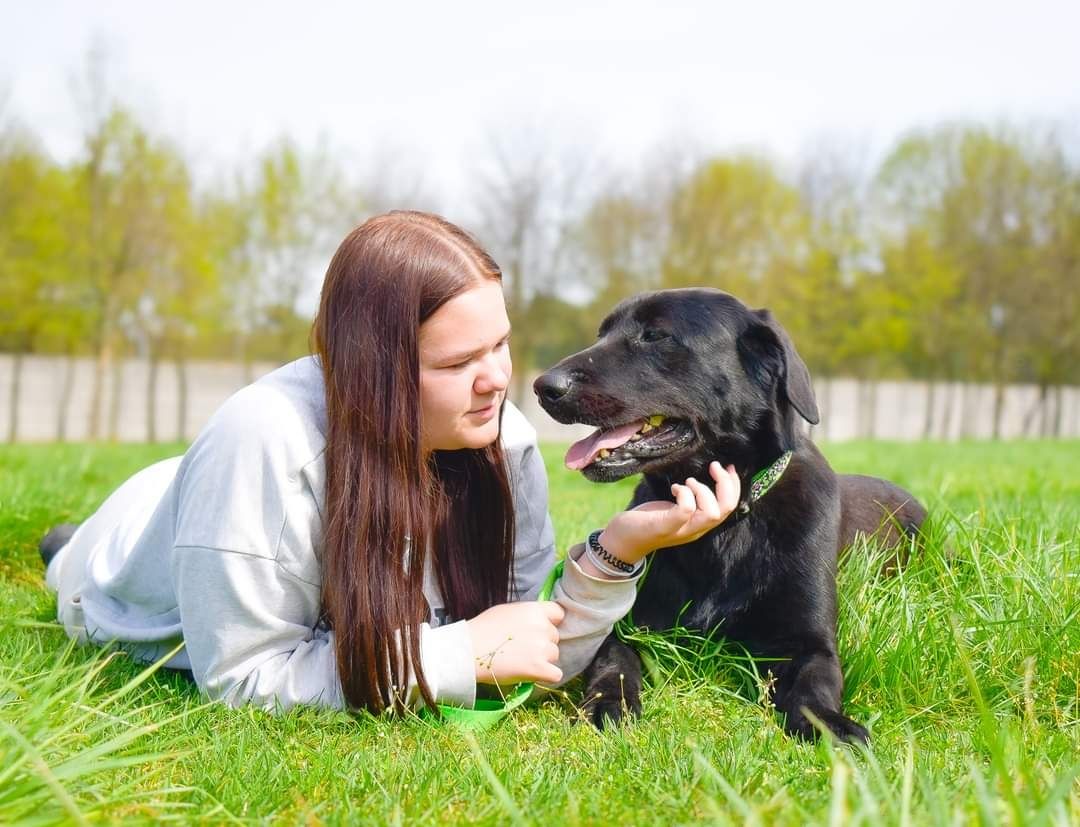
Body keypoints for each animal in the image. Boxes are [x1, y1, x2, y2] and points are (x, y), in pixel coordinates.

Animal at [535, 287, 924, 742]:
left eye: (656, 335)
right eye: (602, 334)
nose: (543, 387)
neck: (727, 526)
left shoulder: (811, 643)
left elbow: (814, 686)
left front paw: (831, 725)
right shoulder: (625, 627)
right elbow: (612, 660)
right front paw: (607, 702)